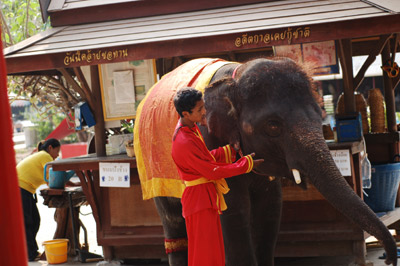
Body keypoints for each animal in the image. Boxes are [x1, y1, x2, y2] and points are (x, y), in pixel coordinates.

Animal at [134, 57, 396, 264]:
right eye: (272, 125)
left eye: (319, 115)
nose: (389, 259)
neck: (235, 76)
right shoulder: (208, 137)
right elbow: (233, 210)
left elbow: (269, 210)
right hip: (153, 172)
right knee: (174, 225)